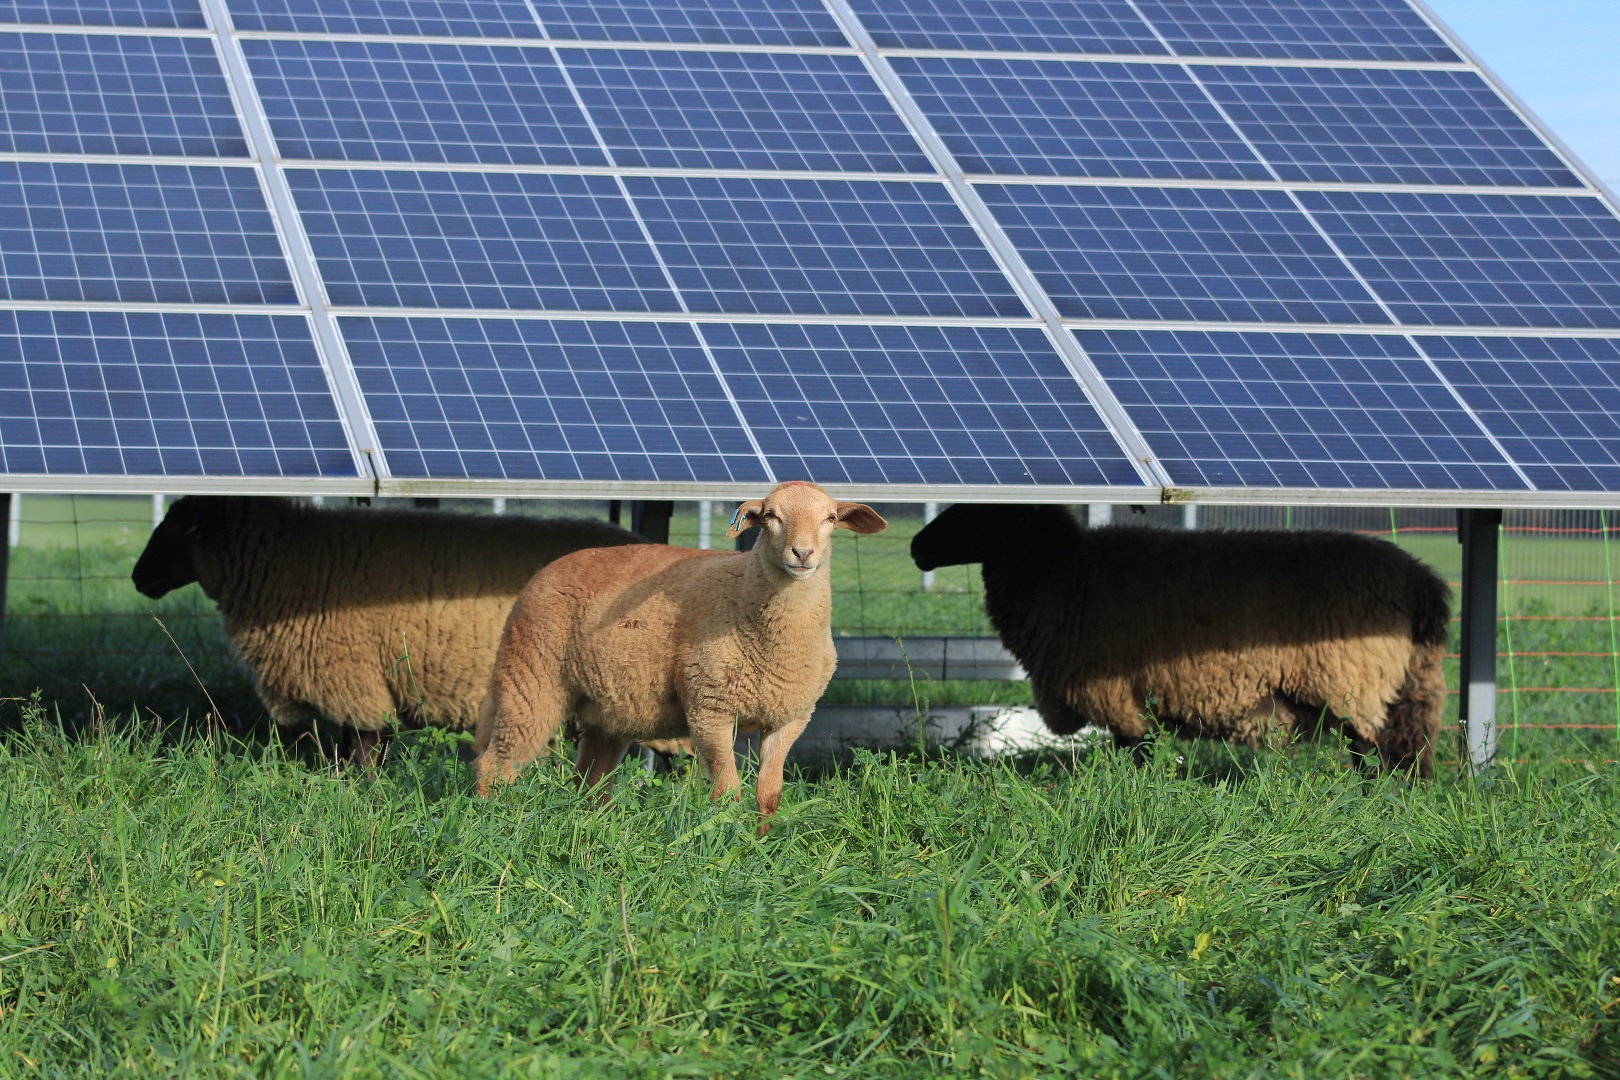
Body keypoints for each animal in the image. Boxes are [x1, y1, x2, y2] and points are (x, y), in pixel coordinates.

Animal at [132, 495, 638, 757]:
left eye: (176, 530)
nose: (138, 578)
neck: (293, 561)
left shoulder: (352, 677)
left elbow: (362, 746)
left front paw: (359, 790)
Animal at [473, 482, 887, 829]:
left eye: (830, 518)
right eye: (771, 515)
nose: (802, 553)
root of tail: (544, 571)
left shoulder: (790, 718)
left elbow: (769, 795)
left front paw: (763, 842)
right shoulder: (710, 709)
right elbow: (727, 792)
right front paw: (731, 840)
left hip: (606, 710)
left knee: (589, 781)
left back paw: (591, 828)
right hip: (531, 680)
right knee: (495, 764)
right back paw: (492, 822)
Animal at [913, 508, 1458, 777]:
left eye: (976, 511)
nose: (917, 548)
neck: (1062, 569)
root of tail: (1420, 580)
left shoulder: (1119, 694)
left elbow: (1136, 753)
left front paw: (1134, 798)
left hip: (1352, 682)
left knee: (1372, 752)